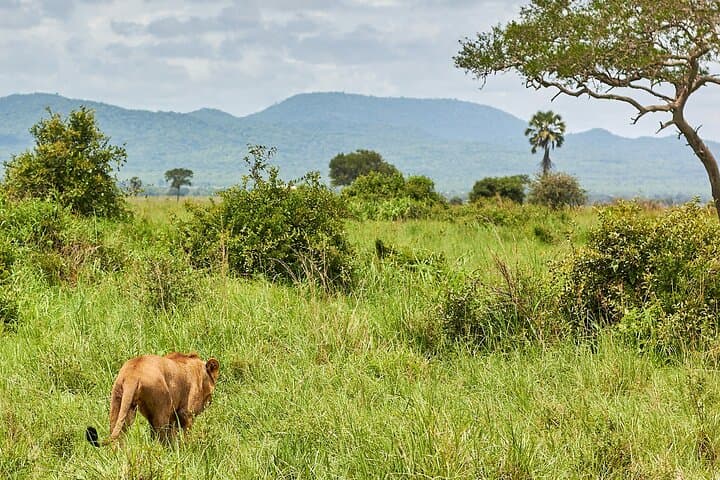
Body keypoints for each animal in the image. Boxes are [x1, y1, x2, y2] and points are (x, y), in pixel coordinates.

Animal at [86, 352, 220, 446]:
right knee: (162, 437)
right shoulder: (186, 413)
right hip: (162, 407)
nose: (209, 402)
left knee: (117, 433)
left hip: (119, 402)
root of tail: (133, 374)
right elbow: (184, 435)